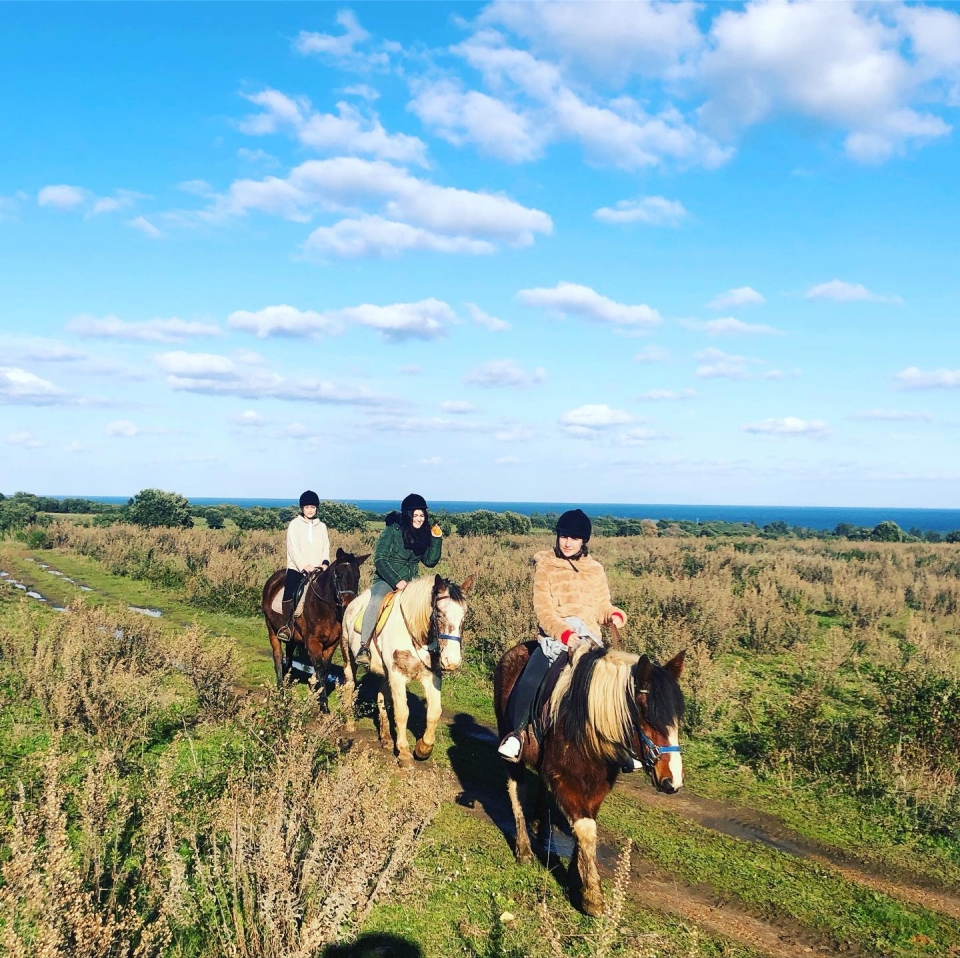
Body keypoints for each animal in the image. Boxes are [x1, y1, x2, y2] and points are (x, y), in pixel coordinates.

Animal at [261, 548, 369, 710]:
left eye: (357, 576)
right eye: (338, 575)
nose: (348, 605)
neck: (325, 607)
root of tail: (273, 579)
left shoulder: (332, 644)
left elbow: (324, 670)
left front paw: (316, 696)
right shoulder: (313, 642)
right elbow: (318, 668)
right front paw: (323, 704)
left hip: (293, 636)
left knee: (289, 654)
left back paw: (287, 680)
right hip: (271, 628)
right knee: (278, 656)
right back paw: (281, 690)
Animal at [341, 573, 472, 768]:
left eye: (464, 616)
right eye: (439, 614)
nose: (452, 662)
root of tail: (352, 603)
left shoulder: (432, 676)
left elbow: (434, 712)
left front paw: (423, 748)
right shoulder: (398, 675)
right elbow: (402, 713)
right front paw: (404, 753)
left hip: (385, 673)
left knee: (382, 697)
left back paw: (386, 738)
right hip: (348, 657)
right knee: (350, 686)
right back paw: (350, 723)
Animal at [493, 642, 685, 917]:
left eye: (677, 718)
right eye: (648, 717)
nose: (672, 781)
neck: (587, 723)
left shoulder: (597, 786)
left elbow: (585, 828)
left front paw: (577, 877)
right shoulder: (565, 779)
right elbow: (585, 828)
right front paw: (593, 896)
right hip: (511, 749)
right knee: (515, 789)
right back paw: (524, 848)